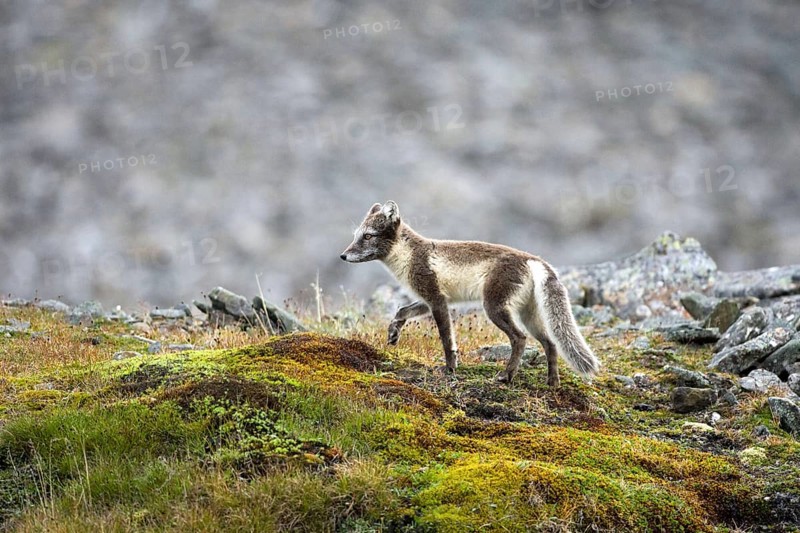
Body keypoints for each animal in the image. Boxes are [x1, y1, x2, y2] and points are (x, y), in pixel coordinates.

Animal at [340, 201, 600, 385]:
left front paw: (450, 368)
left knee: (520, 338)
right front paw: (394, 333)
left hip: (494, 308)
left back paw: (506, 376)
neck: (408, 255)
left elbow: (447, 339)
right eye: (355, 235)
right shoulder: (430, 299)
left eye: (368, 236)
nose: (343, 256)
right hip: (529, 314)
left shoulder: (436, 299)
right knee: (550, 343)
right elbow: (402, 310)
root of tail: (534, 259)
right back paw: (552, 382)